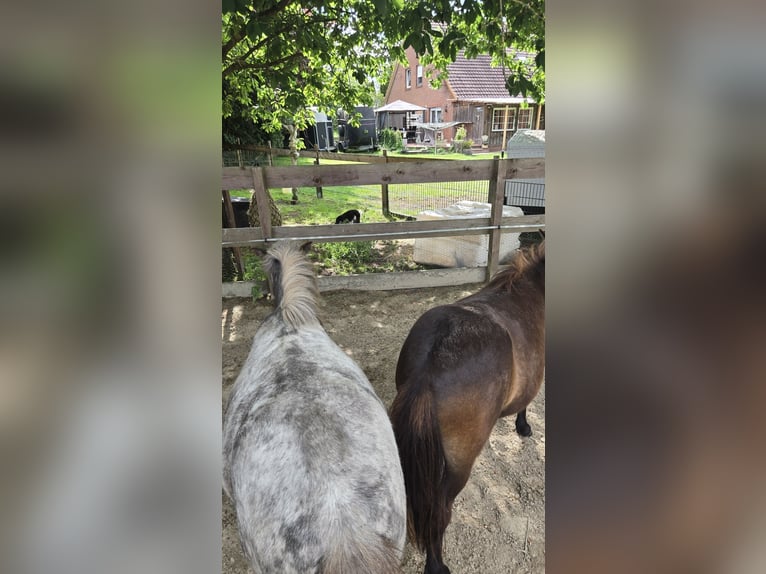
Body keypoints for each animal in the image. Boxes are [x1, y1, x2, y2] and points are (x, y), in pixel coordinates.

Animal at [389, 241, 545, 574]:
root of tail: (430, 366)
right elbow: (526, 403)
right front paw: (524, 426)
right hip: (459, 463)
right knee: (439, 512)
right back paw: (436, 564)